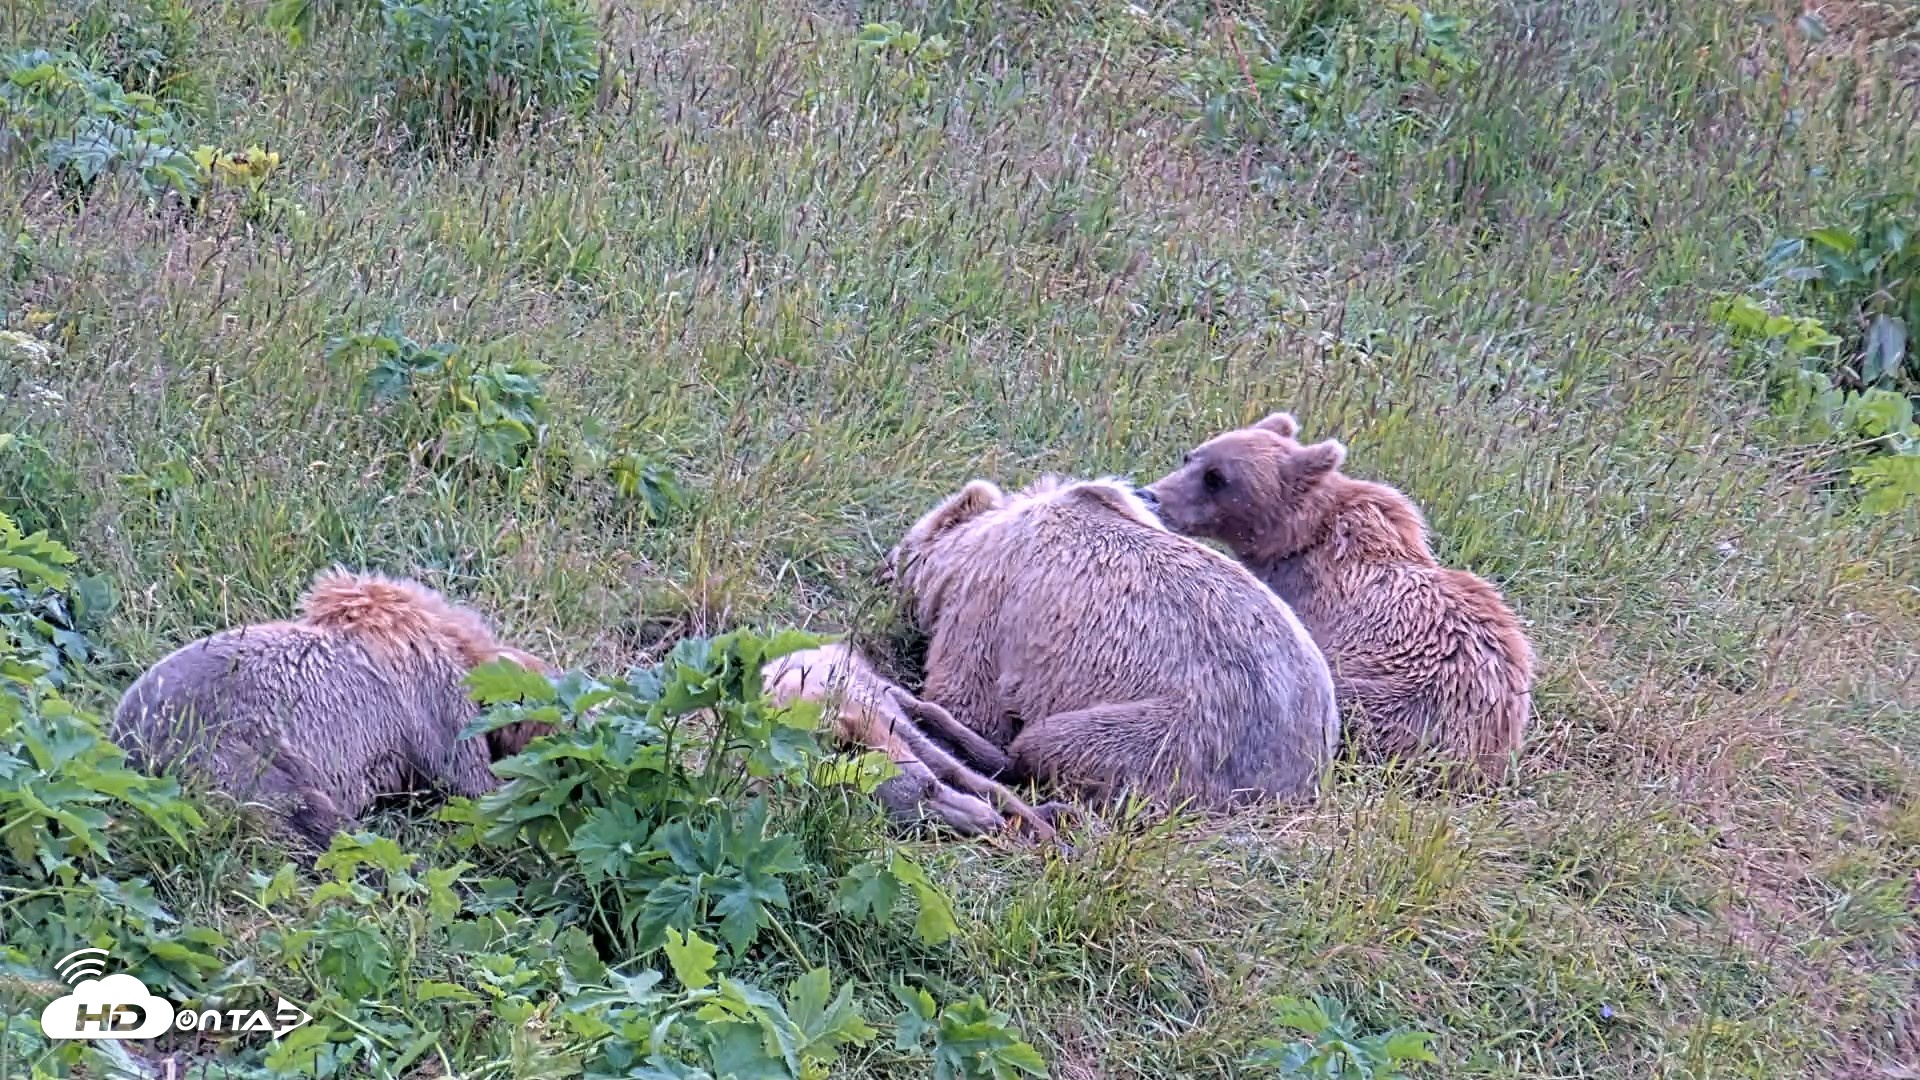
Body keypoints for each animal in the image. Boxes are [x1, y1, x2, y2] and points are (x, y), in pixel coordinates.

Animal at [760, 643, 1063, 843]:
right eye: (923, 825)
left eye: (931, 787)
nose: (994, 824)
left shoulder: (893, 725)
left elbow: (978, 781)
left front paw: (1046, 829)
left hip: (881, 689)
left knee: (928, 710)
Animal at [884, 474, 1339, 811]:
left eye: (901, 550)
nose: (882, 569)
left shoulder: (986, 602)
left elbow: (967, 693)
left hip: (1184, 734)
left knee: (1055, 744)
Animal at [1141, 411, 1535, 782]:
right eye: (1190, 457)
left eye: (1216, 478)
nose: (1151, 495)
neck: (1297, 539)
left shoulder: (1305, 600)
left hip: (1400, 703)